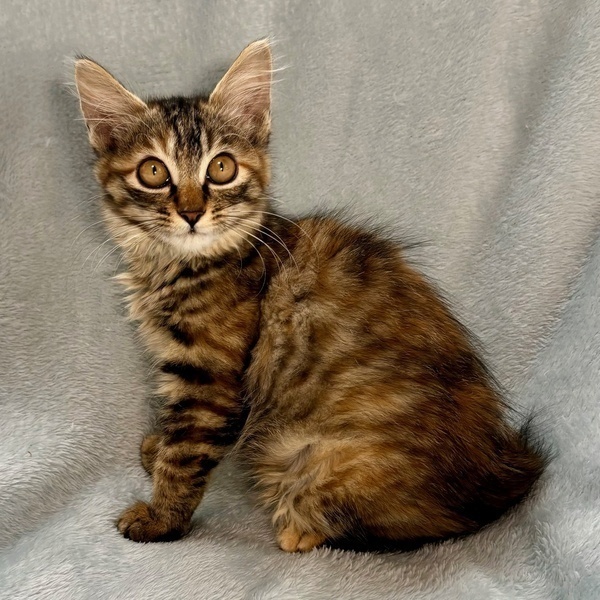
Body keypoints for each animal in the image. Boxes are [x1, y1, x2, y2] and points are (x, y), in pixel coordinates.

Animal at [74, 39, 547, 552]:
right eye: (153, 172)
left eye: (221, 168)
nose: (192, 214)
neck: (178, 264)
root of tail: (497, 476)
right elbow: (173, 436)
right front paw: (156, 449)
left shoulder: (209, 380)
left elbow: (185, 456)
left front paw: (161, 518)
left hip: (314, 453)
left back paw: (297, 529)